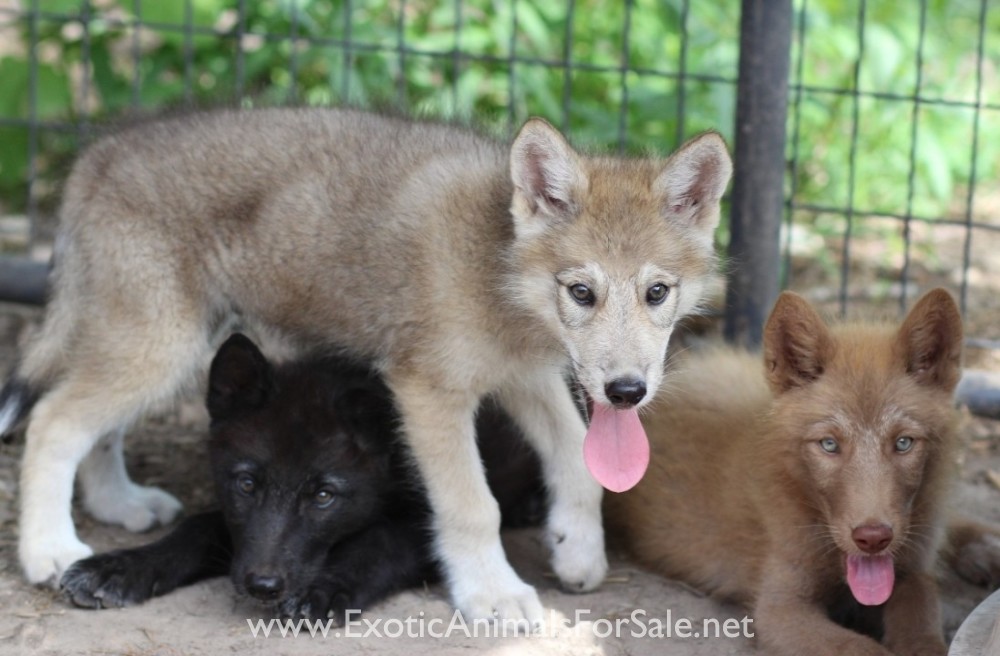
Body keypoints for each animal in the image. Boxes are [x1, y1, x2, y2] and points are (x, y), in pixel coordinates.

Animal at [60, 333, 543, 619]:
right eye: (247, 484)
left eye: (324, 496)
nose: (263, 587)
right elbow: (197, 528)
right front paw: (119, 568)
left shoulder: (425, 521)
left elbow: (379, 542)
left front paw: (327, 589)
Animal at [606, 288, 1000, 655]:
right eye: (829, 444)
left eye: (904, 443)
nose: (873, 539)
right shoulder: (781, 607)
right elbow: (861, 648)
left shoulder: (913, 572)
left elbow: (923, 623)